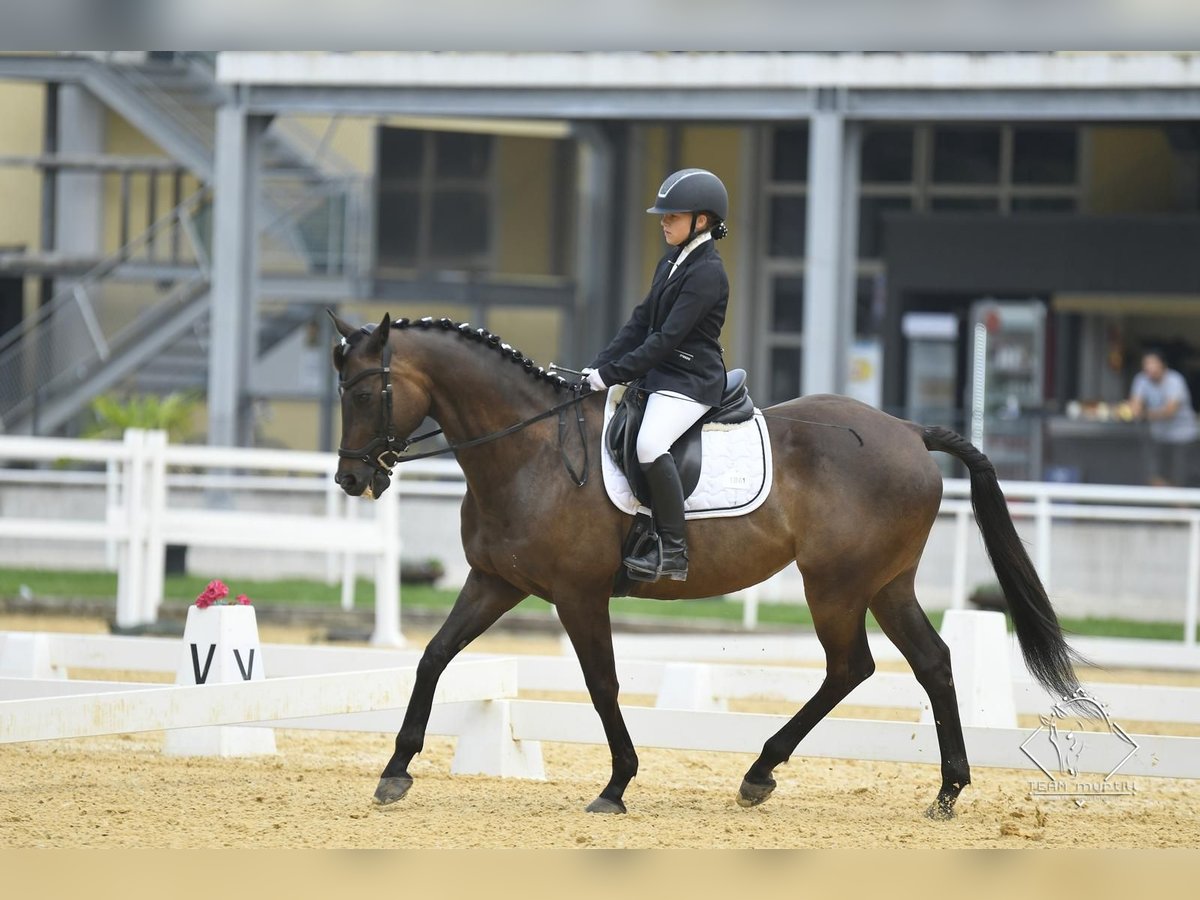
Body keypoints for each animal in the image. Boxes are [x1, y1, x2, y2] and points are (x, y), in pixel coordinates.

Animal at [331, 314, 1089, 820]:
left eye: (365, 394)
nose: (351, 480)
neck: (532, 452)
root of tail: (908, 431)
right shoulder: (496, 582)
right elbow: (433, 656)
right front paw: (395, 771)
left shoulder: (578, 595)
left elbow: (602, 684)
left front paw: (616, 786)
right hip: (884, 584)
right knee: (930, 661)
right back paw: (946, 790)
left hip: (837, 585)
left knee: (852, 667)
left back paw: (762, 773)